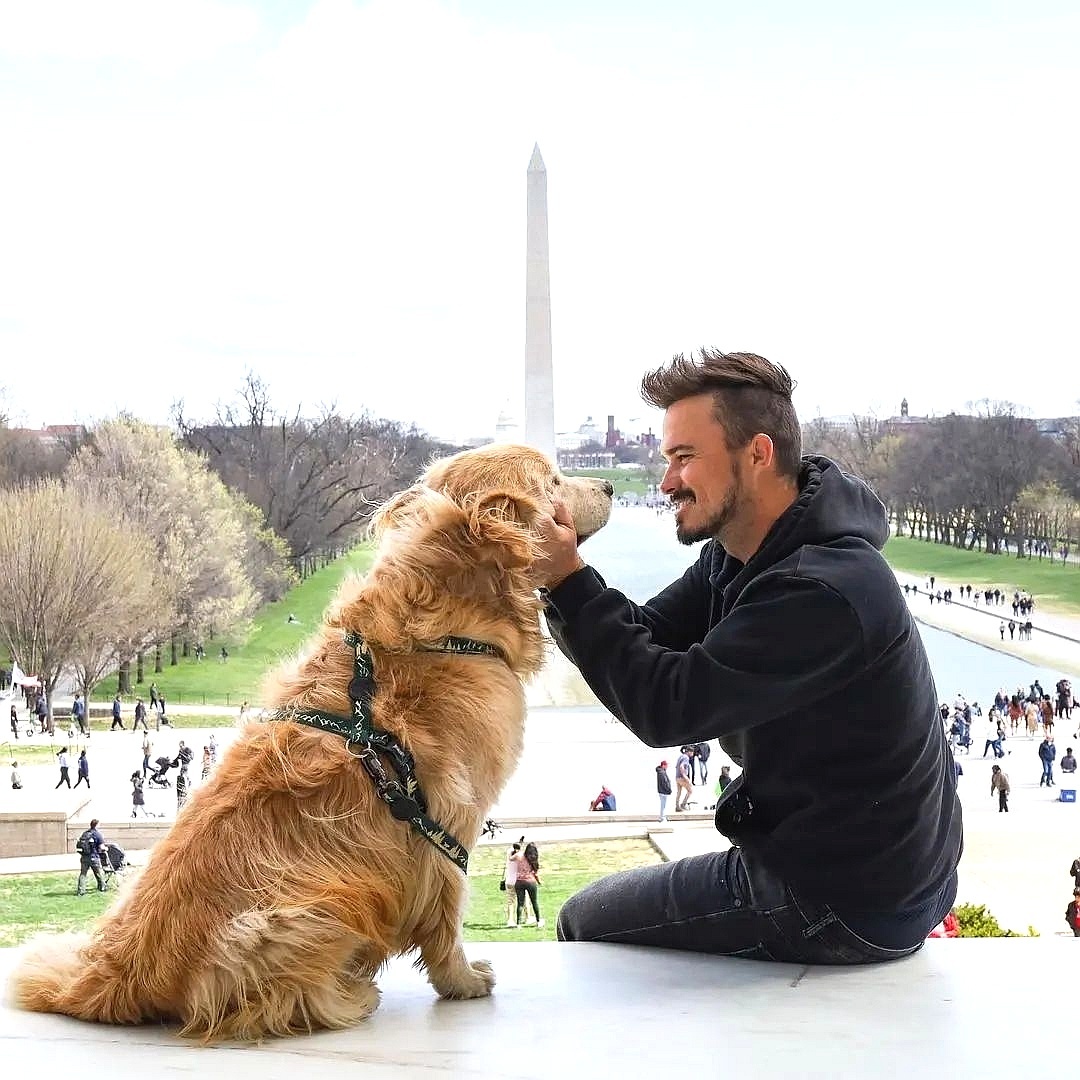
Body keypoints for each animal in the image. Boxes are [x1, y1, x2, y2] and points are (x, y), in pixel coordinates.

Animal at [8, 442, 613, 1041]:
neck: (445, 625)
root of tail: (114, 973)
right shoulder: (446, 823)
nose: (609, 485)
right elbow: (447, 913)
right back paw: (348, 996)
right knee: (265, 1005)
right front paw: (461, 980)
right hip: (306, 913)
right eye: (554, 482)